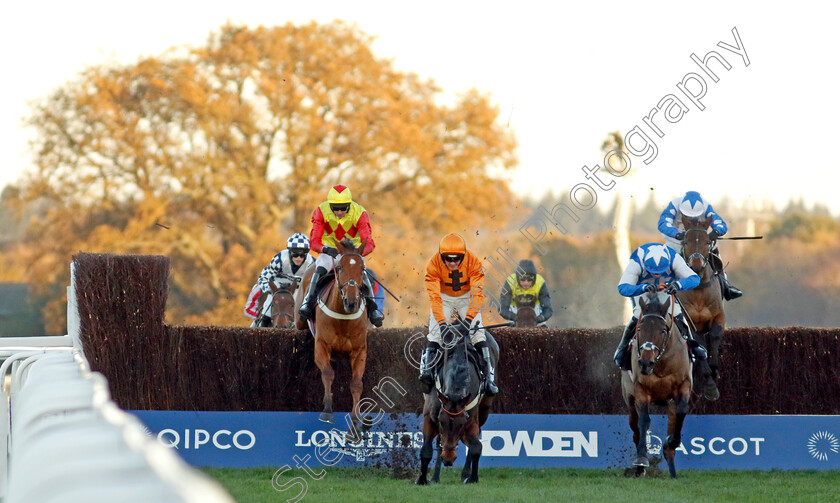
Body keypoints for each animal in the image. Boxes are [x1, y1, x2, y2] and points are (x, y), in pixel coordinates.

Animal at [296, 238, 370, 432]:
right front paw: (328, 411)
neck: (343, 317)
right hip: (299, 320)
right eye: (340, 268)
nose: (351, 302)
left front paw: (355, 421)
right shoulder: (321, 346)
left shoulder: (360, 351)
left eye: (362, 269)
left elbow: (356, 384)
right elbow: (328, 373)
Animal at [416, 330, 496, 484]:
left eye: (461, 424)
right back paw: (435, 476)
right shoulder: (430, 417)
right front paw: (422, 480)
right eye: (442, 422)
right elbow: (427, 450)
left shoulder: (471, 419)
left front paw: (471, 477)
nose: (448, 459)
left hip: (484, 411)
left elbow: (476, 447)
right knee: (439, 444)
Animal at [620, 292, 692, 480]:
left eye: (663, 330)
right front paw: (642, 460)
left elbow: (681, 413)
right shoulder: (641, 389)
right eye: (639, 329)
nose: (645, 363)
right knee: (635, 427)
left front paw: (671, 442)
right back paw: (639, 468)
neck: (661, 363)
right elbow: (644, 422)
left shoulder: (683, 386)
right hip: (629, 398)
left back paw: (672, 468)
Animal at [672, 217, 724, 402]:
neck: (699, 288)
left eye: (707, 241)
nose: (695, 265)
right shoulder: (689, 320)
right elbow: (699, 344)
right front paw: (710, 386)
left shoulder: (718, 315)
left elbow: (715, 334)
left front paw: (715, 369)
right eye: (686, 241)